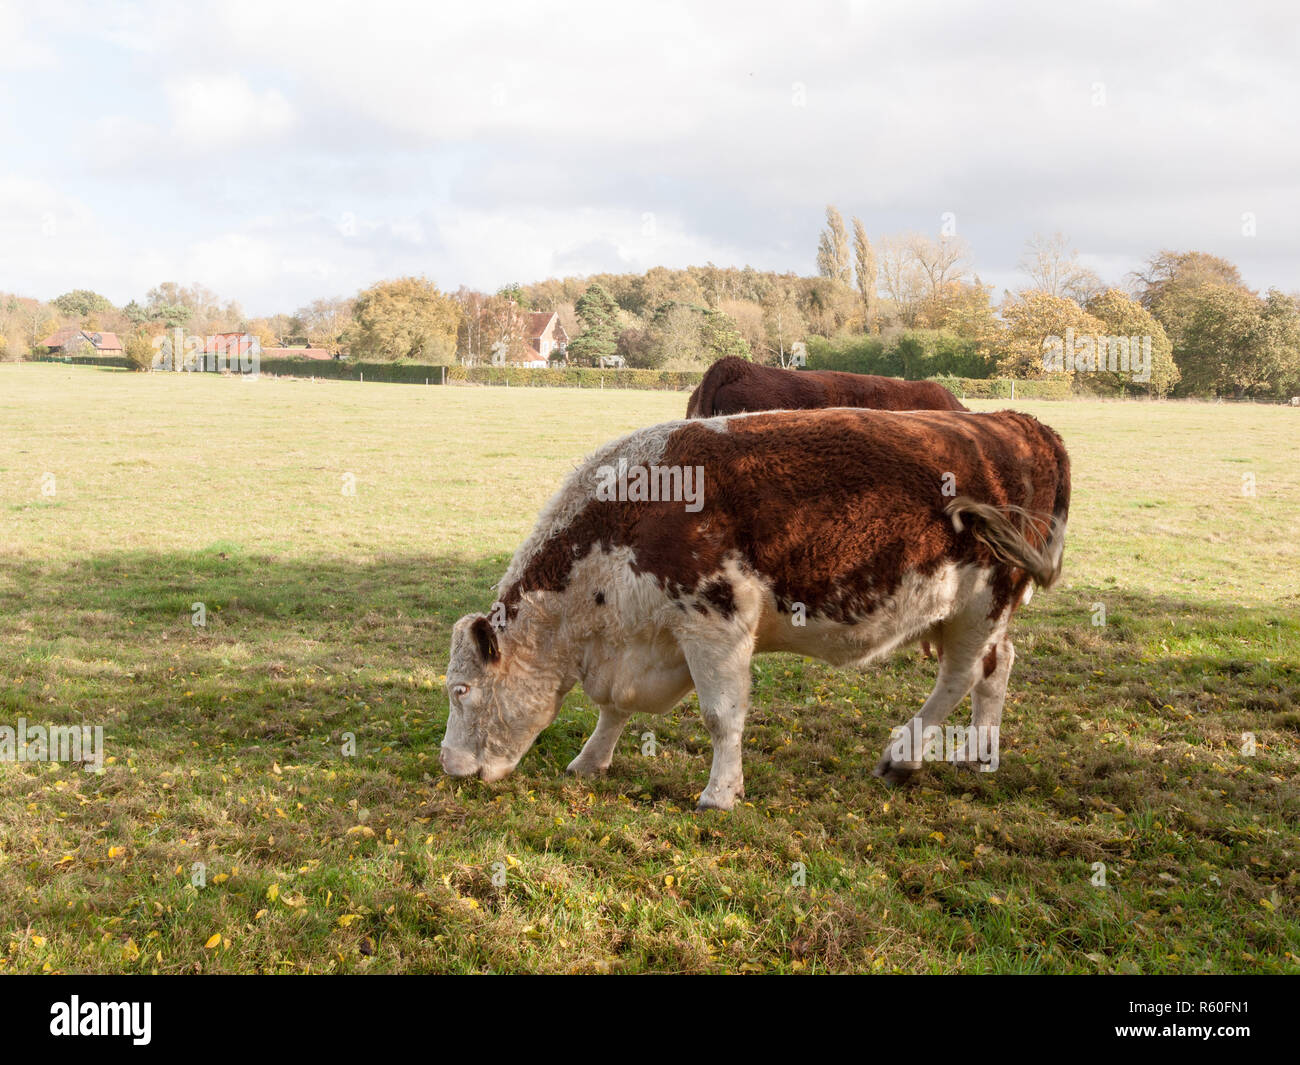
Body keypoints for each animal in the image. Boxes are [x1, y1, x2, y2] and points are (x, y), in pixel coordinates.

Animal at [441, 405, 1071, 806]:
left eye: (461, 689)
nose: (449, 765)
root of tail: (1021, 423)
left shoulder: (713, 622)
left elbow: (721, 716)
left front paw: (720, 794)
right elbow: (614, 708)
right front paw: (591, 760)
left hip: (981, 602)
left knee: (960, 677)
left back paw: (904, 756)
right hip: (963, 612)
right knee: (997, 666)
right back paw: (978, 755)